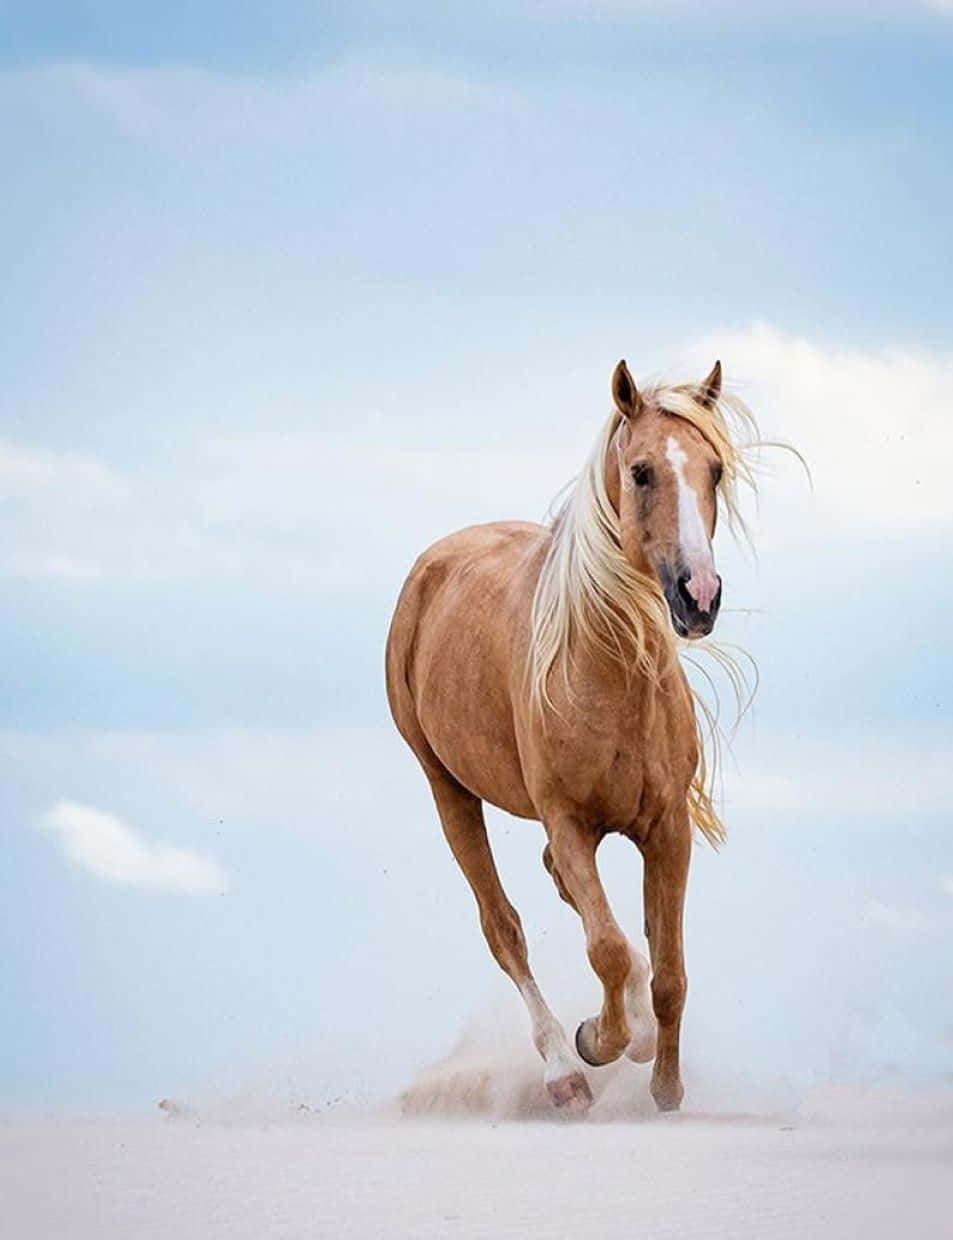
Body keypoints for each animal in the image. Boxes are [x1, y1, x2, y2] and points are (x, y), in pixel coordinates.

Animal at [386, 358, 757, 1114]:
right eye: (641, 471)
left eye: (714, 469)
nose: (698, 597)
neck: (608, 675)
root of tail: (434, 564)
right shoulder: (569, 822)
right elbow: (606, 948)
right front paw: (600, 1041)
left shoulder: (667, 828)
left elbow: (668, 969)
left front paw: (664, 1082)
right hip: (448, 791)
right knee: (504, 929)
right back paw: (562, 1069)